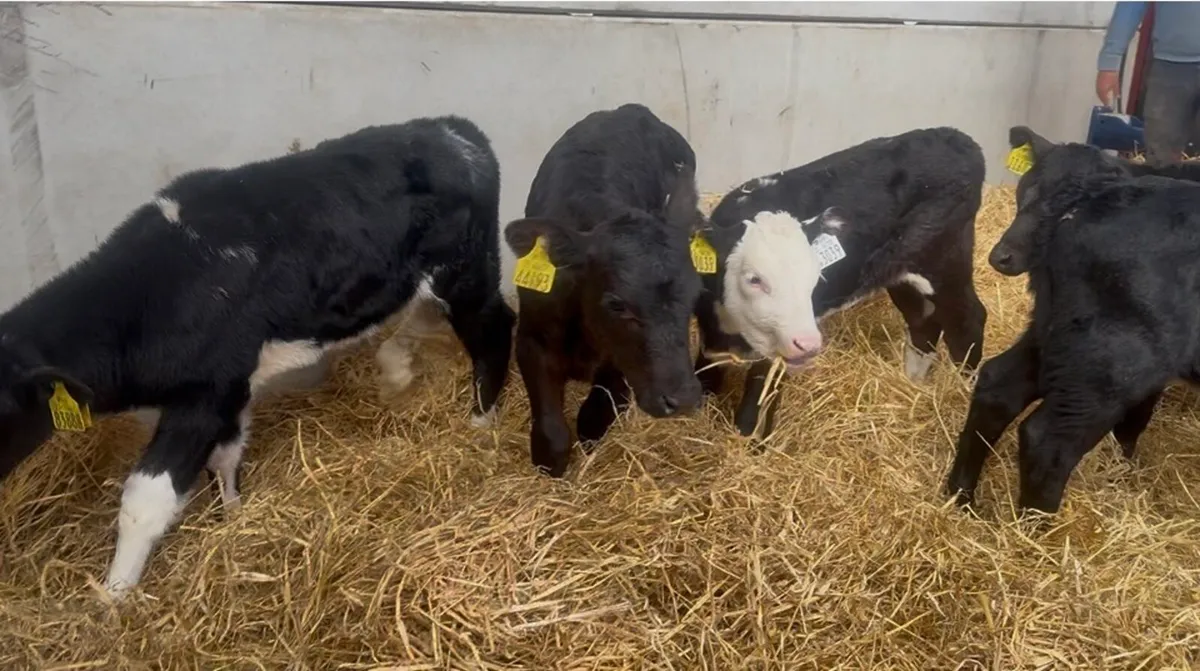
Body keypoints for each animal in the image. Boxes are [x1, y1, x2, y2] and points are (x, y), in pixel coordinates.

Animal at [0, 115, 514, 598]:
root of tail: (452, 129)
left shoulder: (206, 394)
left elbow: (145, 500)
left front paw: (114, 596)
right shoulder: (230, 389)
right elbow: (225, 458)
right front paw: (233, 514)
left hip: (466, 272)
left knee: (494, 329)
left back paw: (480, 422)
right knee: (425, 315)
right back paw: (396, 370)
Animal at [503, 103, 705, 478]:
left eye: (695, 294)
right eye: (616, 304)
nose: (683, 398)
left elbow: (594, 417)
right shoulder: (530, 339)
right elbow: (553, 434)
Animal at [691, 127, 988, 440]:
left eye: (813, 279)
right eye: (754, 279)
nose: (808, 344)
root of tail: (956, 136)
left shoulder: (774, 359)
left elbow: (753, 415)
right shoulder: (710, 340)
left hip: (945, 263)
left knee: (968, 320)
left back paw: (963, 390)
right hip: (901, 274)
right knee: (924, 321)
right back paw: (913, 383)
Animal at [945, 148, 1200, 513]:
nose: (1002, 256)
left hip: (1058, 334)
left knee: (997, 385)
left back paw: (961, 495)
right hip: (1115, 358)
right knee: (1049, 440)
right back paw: (1037, 526)